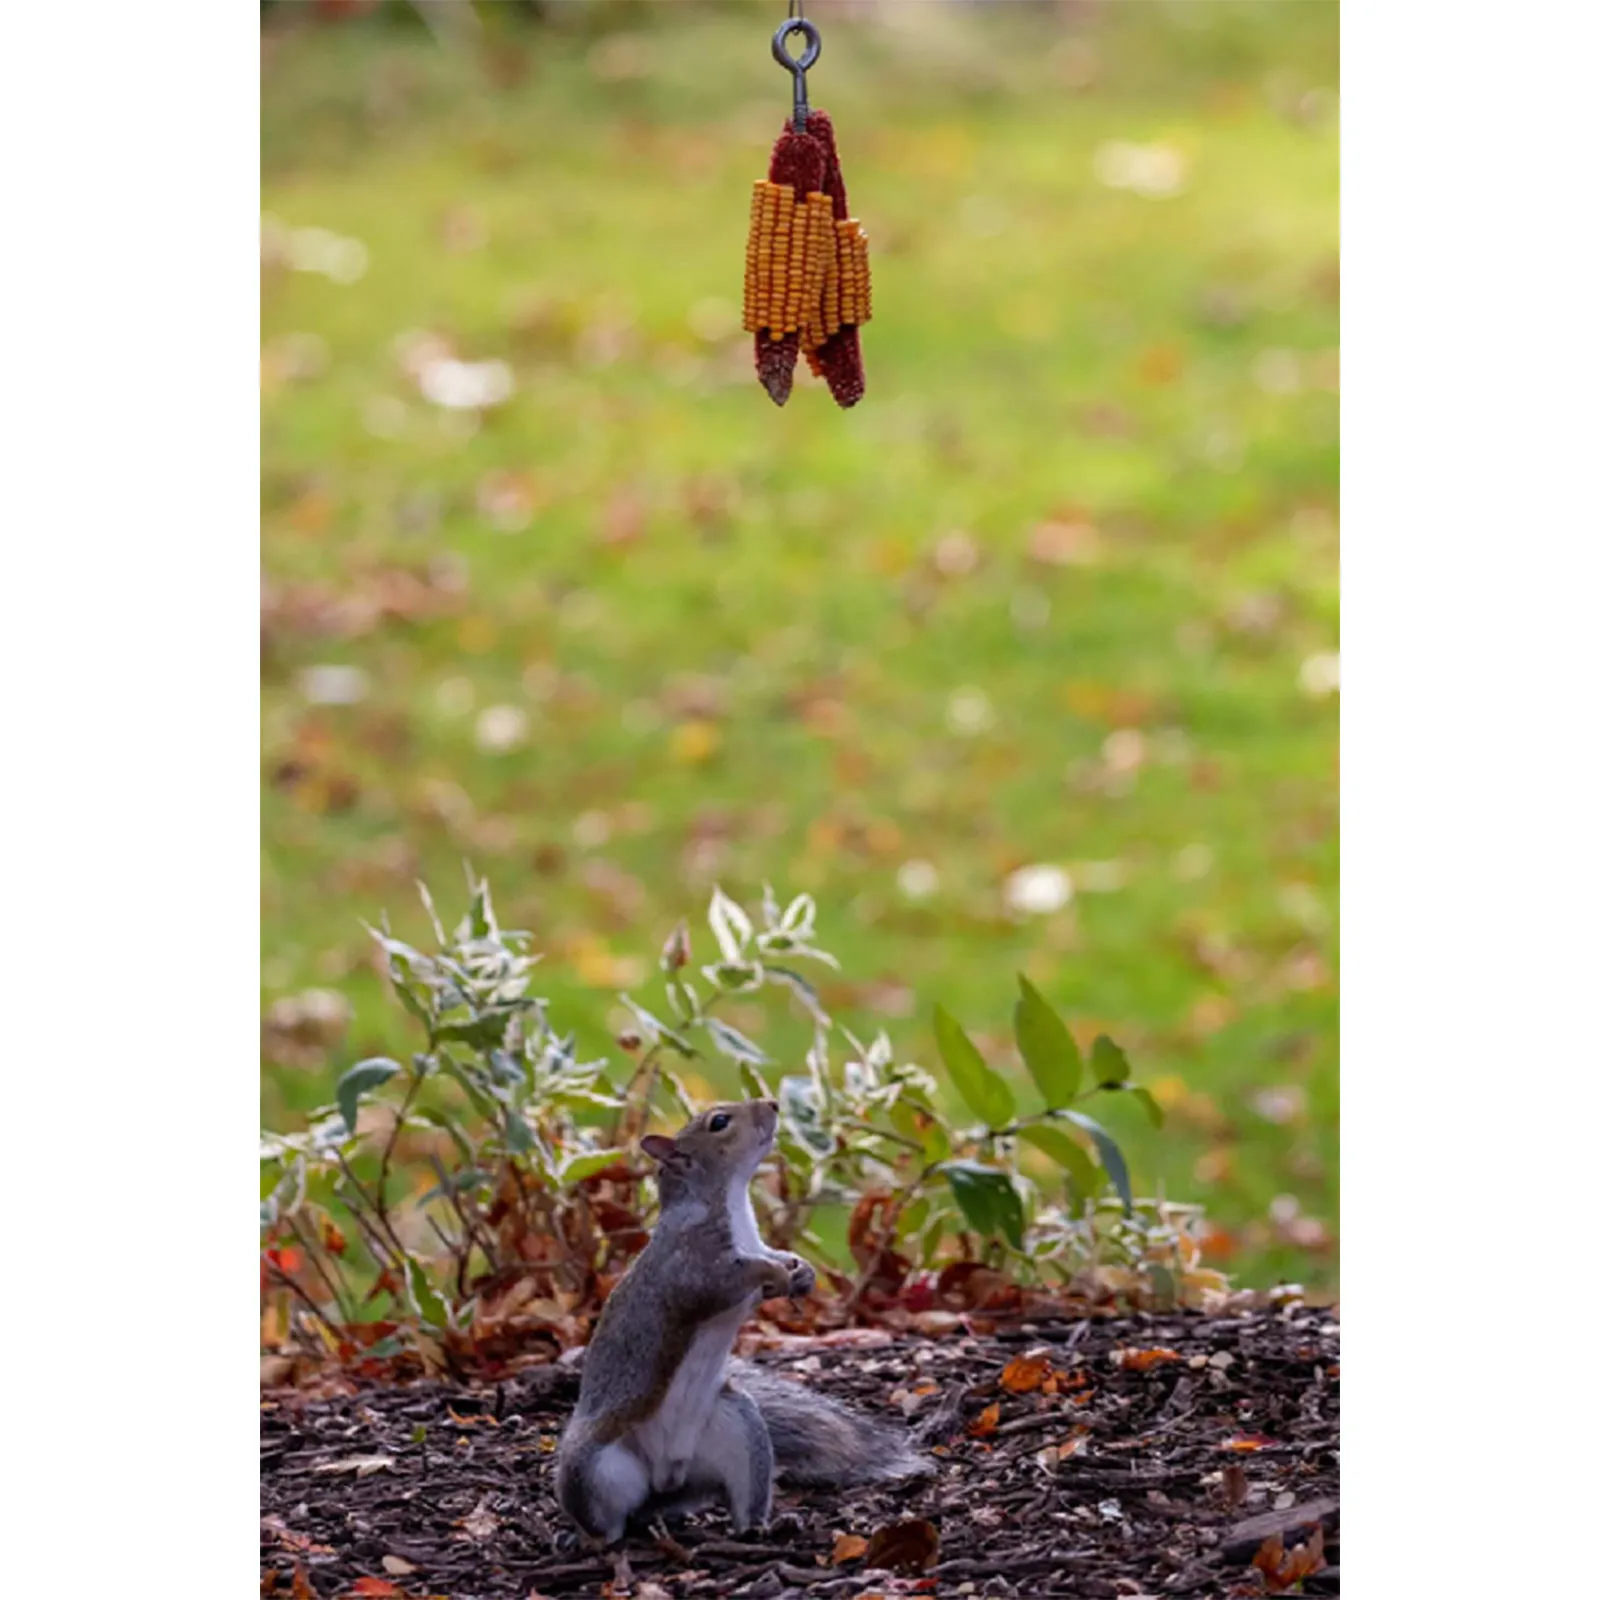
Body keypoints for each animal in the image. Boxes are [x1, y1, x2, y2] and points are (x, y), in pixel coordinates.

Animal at [555, 1098, 929, 1544]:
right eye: (719, 1122)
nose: (772, 1103)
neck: (732, 1201)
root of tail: (665, 1478)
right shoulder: (692, 1267)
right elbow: (729, 1279)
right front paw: (777, 1274)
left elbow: (773, 1261)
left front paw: (801, 1273)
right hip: (595, 1469)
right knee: (606, 1518)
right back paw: (590, 1538)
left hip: (739, 1430)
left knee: (742, 1491)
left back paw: (761, 1526)